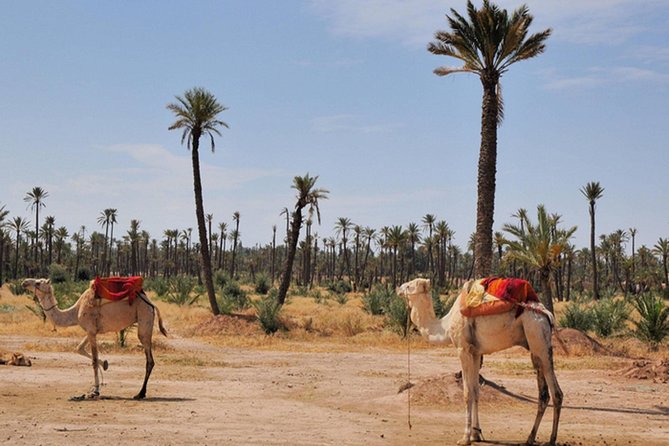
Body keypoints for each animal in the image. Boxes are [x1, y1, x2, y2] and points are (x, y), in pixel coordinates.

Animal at [22, 278, 167, 400]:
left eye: (38, 283)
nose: (24, 282)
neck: (75, 311)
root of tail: (151, 303)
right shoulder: (91, 330)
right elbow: (79, 348)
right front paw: (105, 364)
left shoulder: (91, 330)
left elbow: (94, 360)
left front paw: (95, 391)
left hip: (144, 318)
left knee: (149, 359)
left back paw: (140, 393)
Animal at [398, 278, 562, 446]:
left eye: (410, 285)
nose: (398, 288)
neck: (445, 326)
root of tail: (547, 315)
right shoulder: (476, 353)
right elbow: (476, 391)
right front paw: (476, 434)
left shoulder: (463, 349)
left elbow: (467, 392)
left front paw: (465, 437)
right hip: (535, 345)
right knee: (543, 394)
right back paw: (530, 437)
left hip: (537, 335)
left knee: (556, 392)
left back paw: (551, 439)